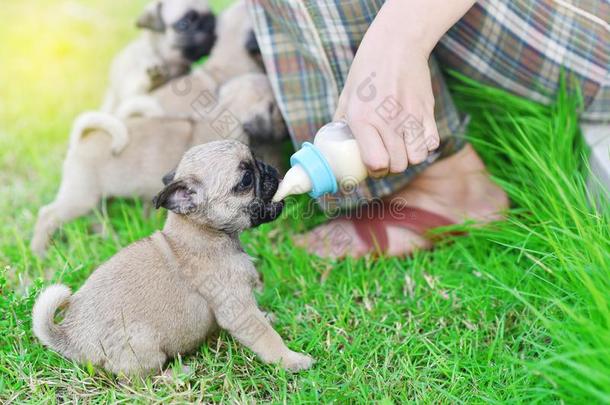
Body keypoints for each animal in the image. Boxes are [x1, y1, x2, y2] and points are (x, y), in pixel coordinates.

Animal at [29, 73, 284, 256]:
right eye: (247, 179)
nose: (270, 170)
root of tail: (81, 139)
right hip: (81, 196)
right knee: (47, 215)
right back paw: (40, 251)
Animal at [30, 140, 312, 374]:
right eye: (245, 180)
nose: (269, 169)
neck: (203, 233)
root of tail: (71, 337)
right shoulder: (238, 309)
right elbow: (266, 337)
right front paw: (292, 360)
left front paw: (270, 316)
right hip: (143, 343)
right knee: (138, 381)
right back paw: (175, 375)